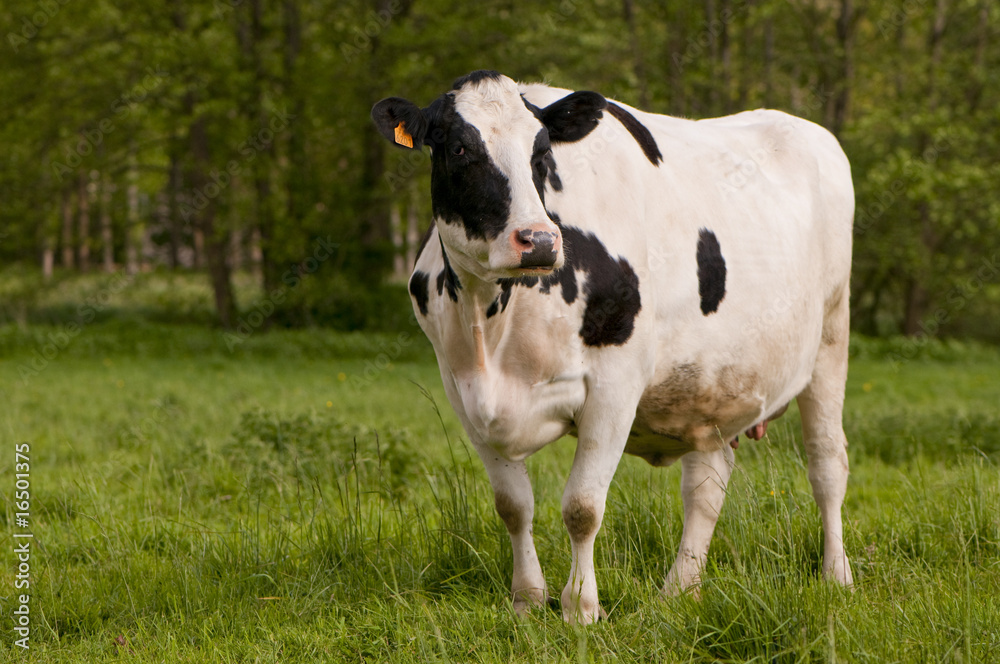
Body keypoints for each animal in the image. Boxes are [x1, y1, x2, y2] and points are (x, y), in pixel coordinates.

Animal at [372, 70, 856, 624]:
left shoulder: (615, 384)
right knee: (706, 485)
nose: (539, 241)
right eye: (458, 147)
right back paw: (680, 590)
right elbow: (513, 505)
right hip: (711, 385)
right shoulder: (463, 391)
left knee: (827, 466)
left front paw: (581, 608)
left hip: (831, 340)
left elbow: (582, 507)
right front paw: (526, 600)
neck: (490, 324)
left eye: (542, 153)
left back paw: (836, 576)